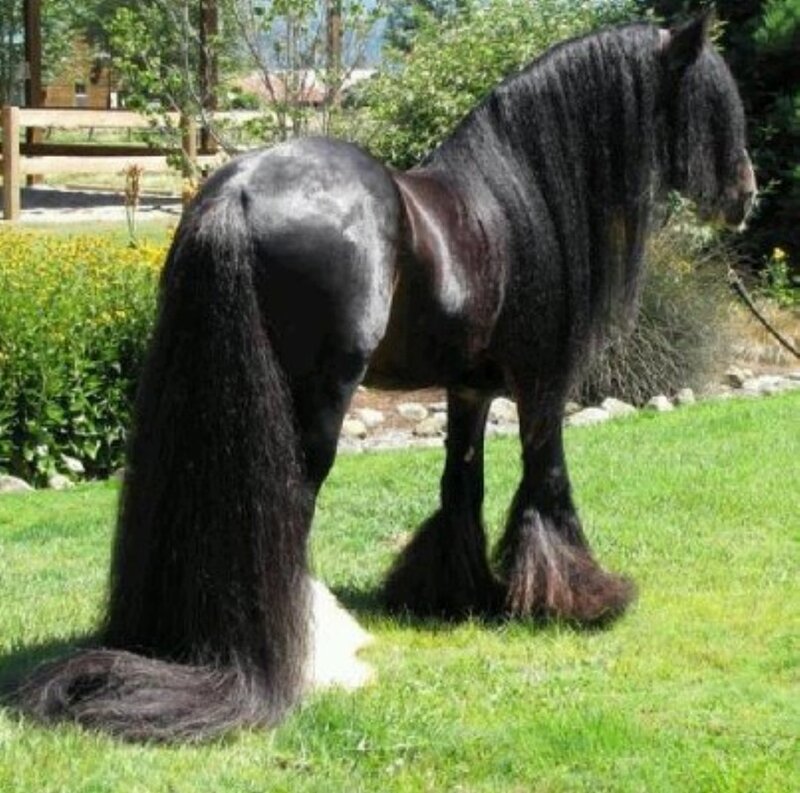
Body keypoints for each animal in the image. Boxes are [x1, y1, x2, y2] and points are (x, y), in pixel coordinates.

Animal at [14, 12, 755, 742]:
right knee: (296, 506)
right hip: (320, 400)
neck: (514, 207)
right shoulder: (543, 390)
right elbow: (547, 487)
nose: (745, 197)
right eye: (707, 101)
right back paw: (318, 656)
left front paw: (456, 593)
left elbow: (462, 484)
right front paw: (583, 598)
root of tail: (239, 191)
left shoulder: (469, 390)